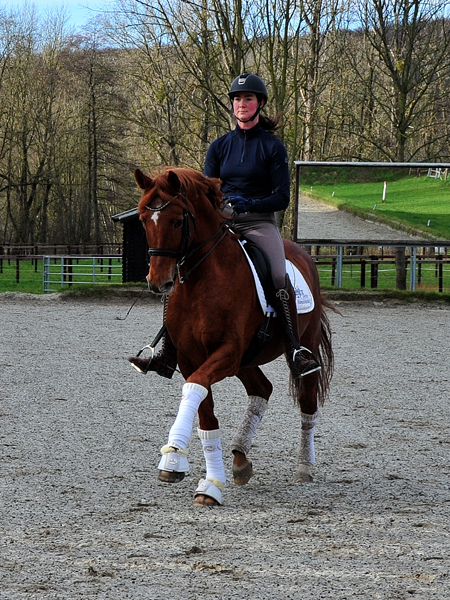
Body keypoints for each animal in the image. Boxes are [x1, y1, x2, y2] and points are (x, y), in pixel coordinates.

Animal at [132, 165, 332, 506]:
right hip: (245, 360)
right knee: (262, 389)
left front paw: (175, 455)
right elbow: (205, 415)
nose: (158, 282)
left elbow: (194, 389)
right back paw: (240, 458)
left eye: (177, 220)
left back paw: (304, 466)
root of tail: (303, 255)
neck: (202, 280)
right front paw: (206, 479)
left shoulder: (226, 352)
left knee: (307, 401)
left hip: (296, 347)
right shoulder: (191, 358)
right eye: (144, 219)